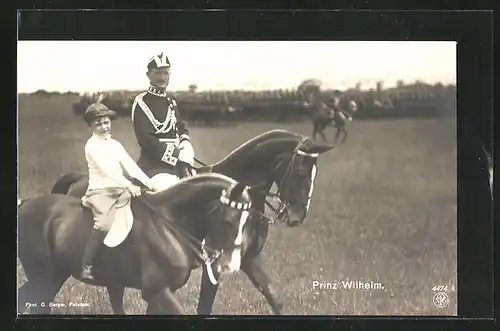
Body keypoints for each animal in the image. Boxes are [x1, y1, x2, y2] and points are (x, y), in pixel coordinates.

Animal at [17, 175, 254, 316]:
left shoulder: (160, 293)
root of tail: (25, 204)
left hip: (55, 276)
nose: (231, 266)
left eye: (247, 221)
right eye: (230, 220)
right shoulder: (156, 291)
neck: (169, 223)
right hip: (43, 277)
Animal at [49, 129, 336, 314]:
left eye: (314, 173)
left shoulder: (249, 258)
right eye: (301, 171)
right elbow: (203, 306)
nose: (297, 217)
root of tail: (79, 179)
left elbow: (275, 298)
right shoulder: (215, 264)